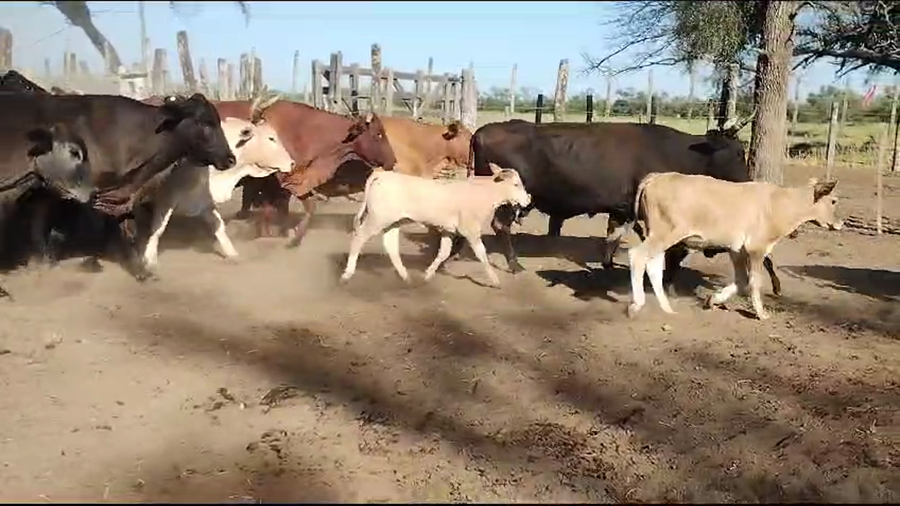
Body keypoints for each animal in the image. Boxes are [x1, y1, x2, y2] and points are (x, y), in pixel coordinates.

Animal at [134, 115, 294, 271]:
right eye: (271, 138)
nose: (292, 163)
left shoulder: (205, 200)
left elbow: (219, 226)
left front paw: (233, 254)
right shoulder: (167, 196)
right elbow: (158, 228)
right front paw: (150, 260)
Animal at [210, 99, 397, 244]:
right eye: (378, 134)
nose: (393, 161)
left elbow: (284, 207)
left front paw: (280, 234)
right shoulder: (281, 180)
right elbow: (287, 206)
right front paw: (290, 237)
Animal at [340, 164, 531, 288]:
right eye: (516, 184)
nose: (528, 199)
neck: (483, 193)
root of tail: (383, 174)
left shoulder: (448, 230)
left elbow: (443, 253)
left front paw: (427, 274)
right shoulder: (470, 230)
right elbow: (482, 254)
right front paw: (495, 281)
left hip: (393, 221)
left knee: (390, 245)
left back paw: (405, 277)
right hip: (378, 218)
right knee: (358, 237)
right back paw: (347, 274)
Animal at [461, 115, 784, 297]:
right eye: (737, 153)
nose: (749, 182)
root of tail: (482, 131)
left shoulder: (622, 209)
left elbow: (613, 236)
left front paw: (608, 264)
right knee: (500, 226)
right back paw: (514, 265)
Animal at [628, 173, 842, 320]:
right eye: (833, 201)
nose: (840, 223)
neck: (780, 204)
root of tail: (657, 177)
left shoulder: (736, 249)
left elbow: (740, 281)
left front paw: (713, 300)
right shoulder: (757, 248)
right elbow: (754, 281)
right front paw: (761, 313)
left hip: (658, 235)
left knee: (653, 265)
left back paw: (667, 309)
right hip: (664, 234)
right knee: (638, 256)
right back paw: (637, 305)